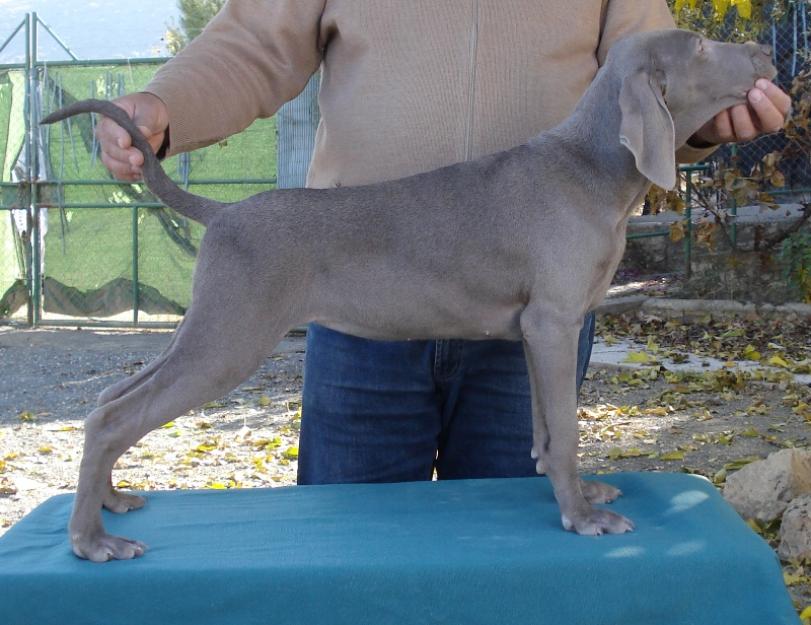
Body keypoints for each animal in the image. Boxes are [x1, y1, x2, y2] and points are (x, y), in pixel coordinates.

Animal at [41, 28, 776, 560]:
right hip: (232, 335)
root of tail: (221, 214)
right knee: (114, 416)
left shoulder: (538, 328)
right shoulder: (552, 320)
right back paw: (91, 540)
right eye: (700, 49)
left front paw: (574, 492)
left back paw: (110, 500)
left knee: (107, 400)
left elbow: (543, 427)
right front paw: (583, 517)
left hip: (212, 324)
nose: (765, 52)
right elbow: (566, 428)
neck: (590, 165)